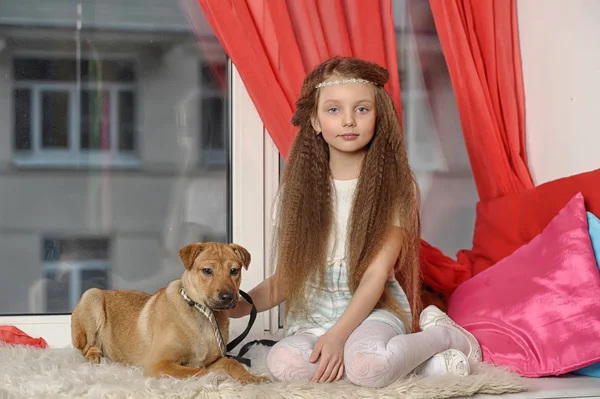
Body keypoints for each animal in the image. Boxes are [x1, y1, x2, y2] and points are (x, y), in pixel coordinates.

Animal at [69, 241, 270, 384]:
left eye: (234, 270)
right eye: (207, 270)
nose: (228, 297)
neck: (203, 313)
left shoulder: (214, 360)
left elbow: (233, 362)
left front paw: (252, 378)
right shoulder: (158, 364)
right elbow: (198, 371)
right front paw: (219, 378)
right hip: (92, 295)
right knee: (86, 347)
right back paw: (94, 357)